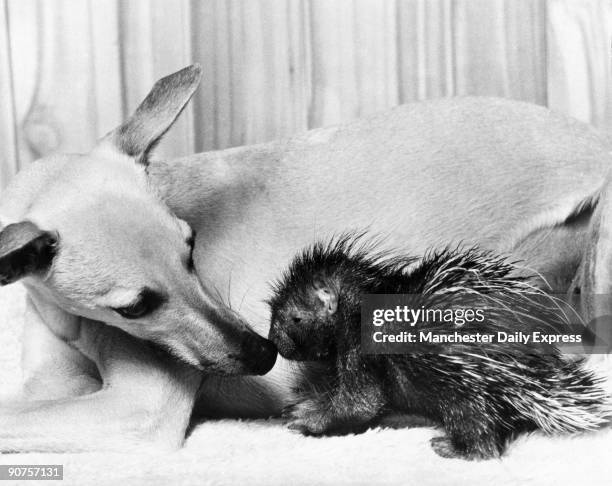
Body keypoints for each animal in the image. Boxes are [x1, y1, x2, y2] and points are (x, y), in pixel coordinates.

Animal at [1, 64, 612, 452]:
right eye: (133, 307)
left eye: (192, 247)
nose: (263, 353)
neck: (62, 317)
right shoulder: (53, 388)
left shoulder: (134, 408)